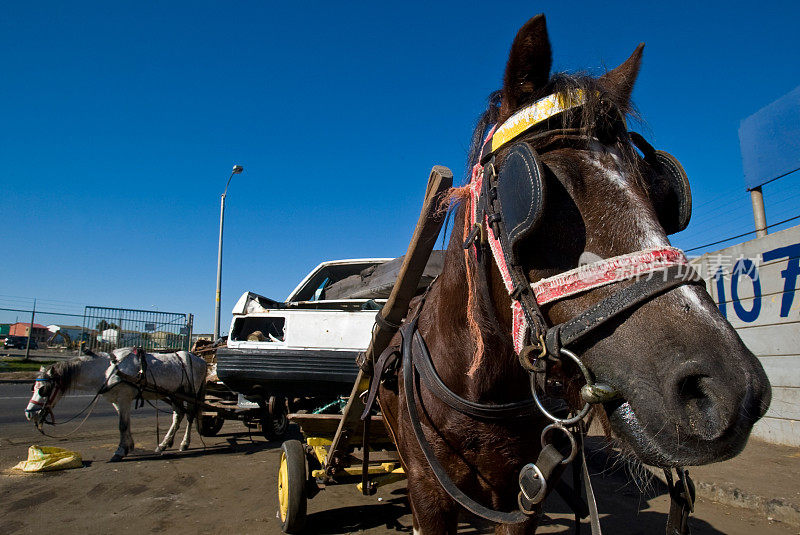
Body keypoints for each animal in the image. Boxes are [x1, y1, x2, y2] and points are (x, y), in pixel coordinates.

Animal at [26, 348, 209, 460]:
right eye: (33, 388)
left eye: (43, 390)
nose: (29, 413)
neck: (107, 370)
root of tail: (200, 360)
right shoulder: (117, 400)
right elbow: (125, 424)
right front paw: (129, 446)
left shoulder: (124, 397)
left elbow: (122, 425)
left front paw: (120, 451)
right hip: (175, 393)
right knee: (178, 415)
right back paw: (164, 444)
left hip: (191, 392)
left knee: (190, 415)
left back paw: (184, 443)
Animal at [378, 12, 772, 535]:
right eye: (535, 193)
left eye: (661, 192)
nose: (730, 391)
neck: (481, 392)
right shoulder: (428, 496)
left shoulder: (519, 497)